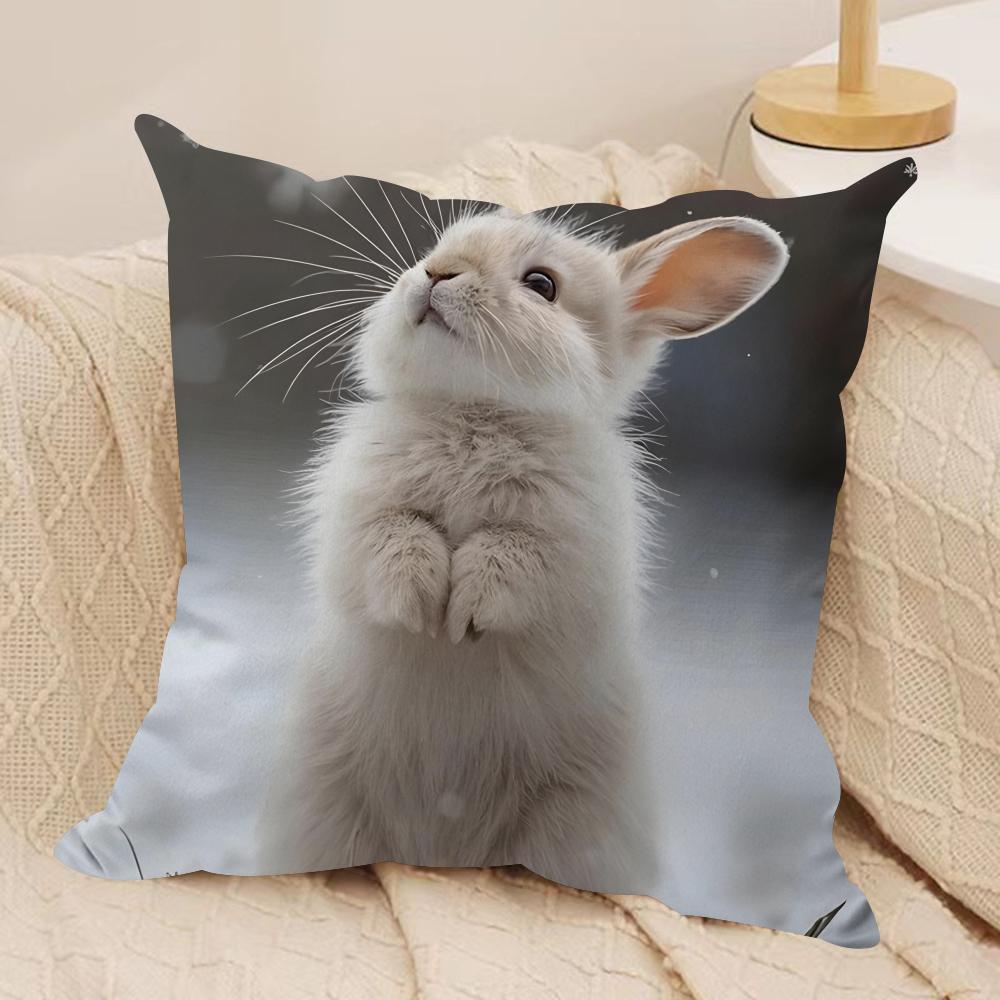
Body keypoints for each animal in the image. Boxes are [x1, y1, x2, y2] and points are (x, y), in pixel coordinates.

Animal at [273, 205, 788, 891]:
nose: (437, 273)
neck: (477, 411)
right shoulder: (356, 516)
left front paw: (462, 616)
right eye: (436, 247)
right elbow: (396, 539)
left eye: (542, 285)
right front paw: (419, 609)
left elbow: (510, 555)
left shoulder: (571, 547)